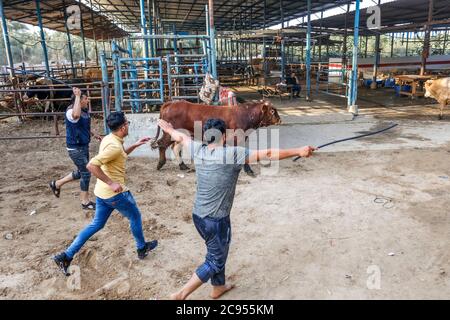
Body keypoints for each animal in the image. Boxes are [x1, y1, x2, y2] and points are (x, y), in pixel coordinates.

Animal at [152, 99, 282, 176]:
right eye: (272, 111)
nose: (280, 120)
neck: (245, 114)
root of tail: (171, 103)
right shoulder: (238, 138)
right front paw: (248, 170)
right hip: (169, 133)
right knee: (162, 144)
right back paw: (160, 164)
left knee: (175, 147)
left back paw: (183, 166)